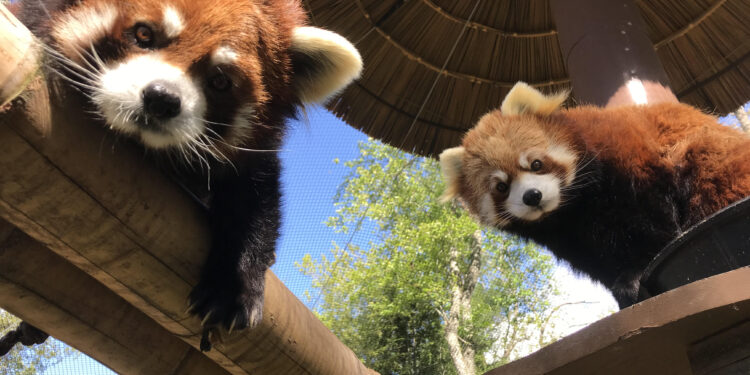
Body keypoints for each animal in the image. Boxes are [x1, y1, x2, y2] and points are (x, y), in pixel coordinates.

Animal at [440, 81, 750, 308]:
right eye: (501, 187)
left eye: (536, 164)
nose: (532, 196)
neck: (574, 208)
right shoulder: (571, 239)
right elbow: (601, 261)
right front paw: (623, 290)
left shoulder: (632, 167)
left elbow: (654, 222)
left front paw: (639, 272)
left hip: (711, 159)